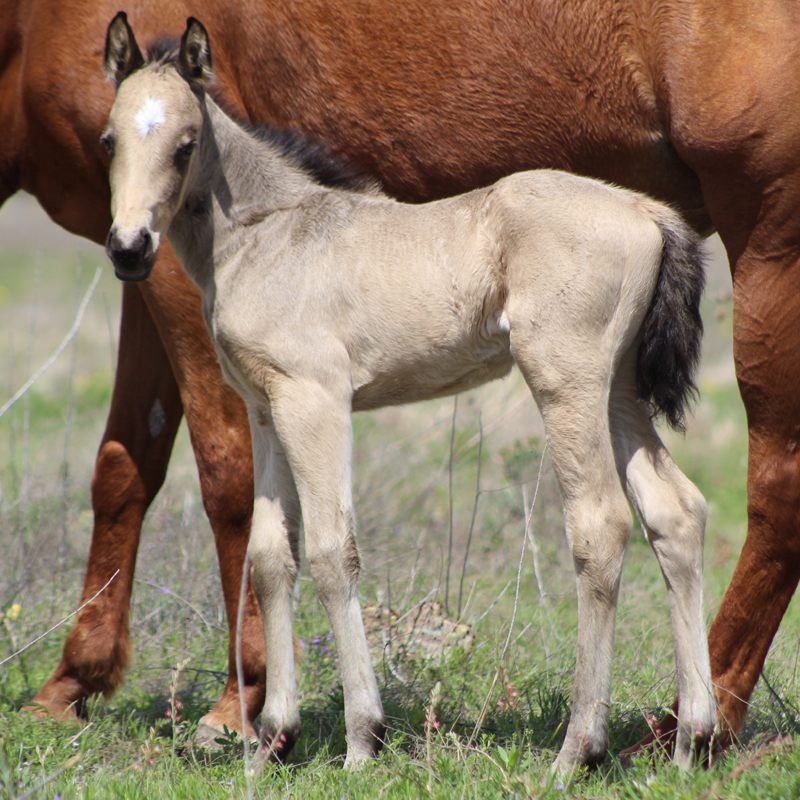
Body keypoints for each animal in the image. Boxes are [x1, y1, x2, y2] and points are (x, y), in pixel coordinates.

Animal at [4, 0, 799, 755]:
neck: (275, 233)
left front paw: (361, 735)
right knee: (676, 511)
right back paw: (689, 738)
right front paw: (274, 736)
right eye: (108, 141)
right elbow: (271, 554)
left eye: (185, 144)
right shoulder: (265, 408)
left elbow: (331, 549)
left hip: (568, 380)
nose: (130, 249)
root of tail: (647, 212)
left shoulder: (316, 400)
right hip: (619, 391)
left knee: (602, 524)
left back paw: (582, 749)